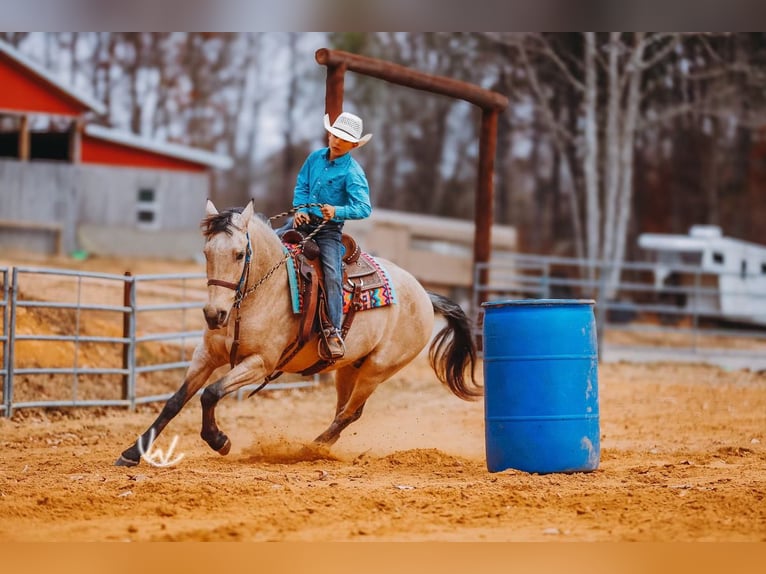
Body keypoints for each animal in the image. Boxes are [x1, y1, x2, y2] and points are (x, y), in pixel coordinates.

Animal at [115, 199, 482, 466]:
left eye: (239, 254)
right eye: (206, 253)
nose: (213, 314)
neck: (257, 293)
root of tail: (425, 295)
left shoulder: (260, 363)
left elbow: (210, 393)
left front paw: (220, 441)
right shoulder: (206, 354)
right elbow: (175, 402)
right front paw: (132, 453)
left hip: (378, 369)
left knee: (350, 412)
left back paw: (309, 449)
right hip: (348, 367)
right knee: (344, 411)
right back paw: (318, 446)